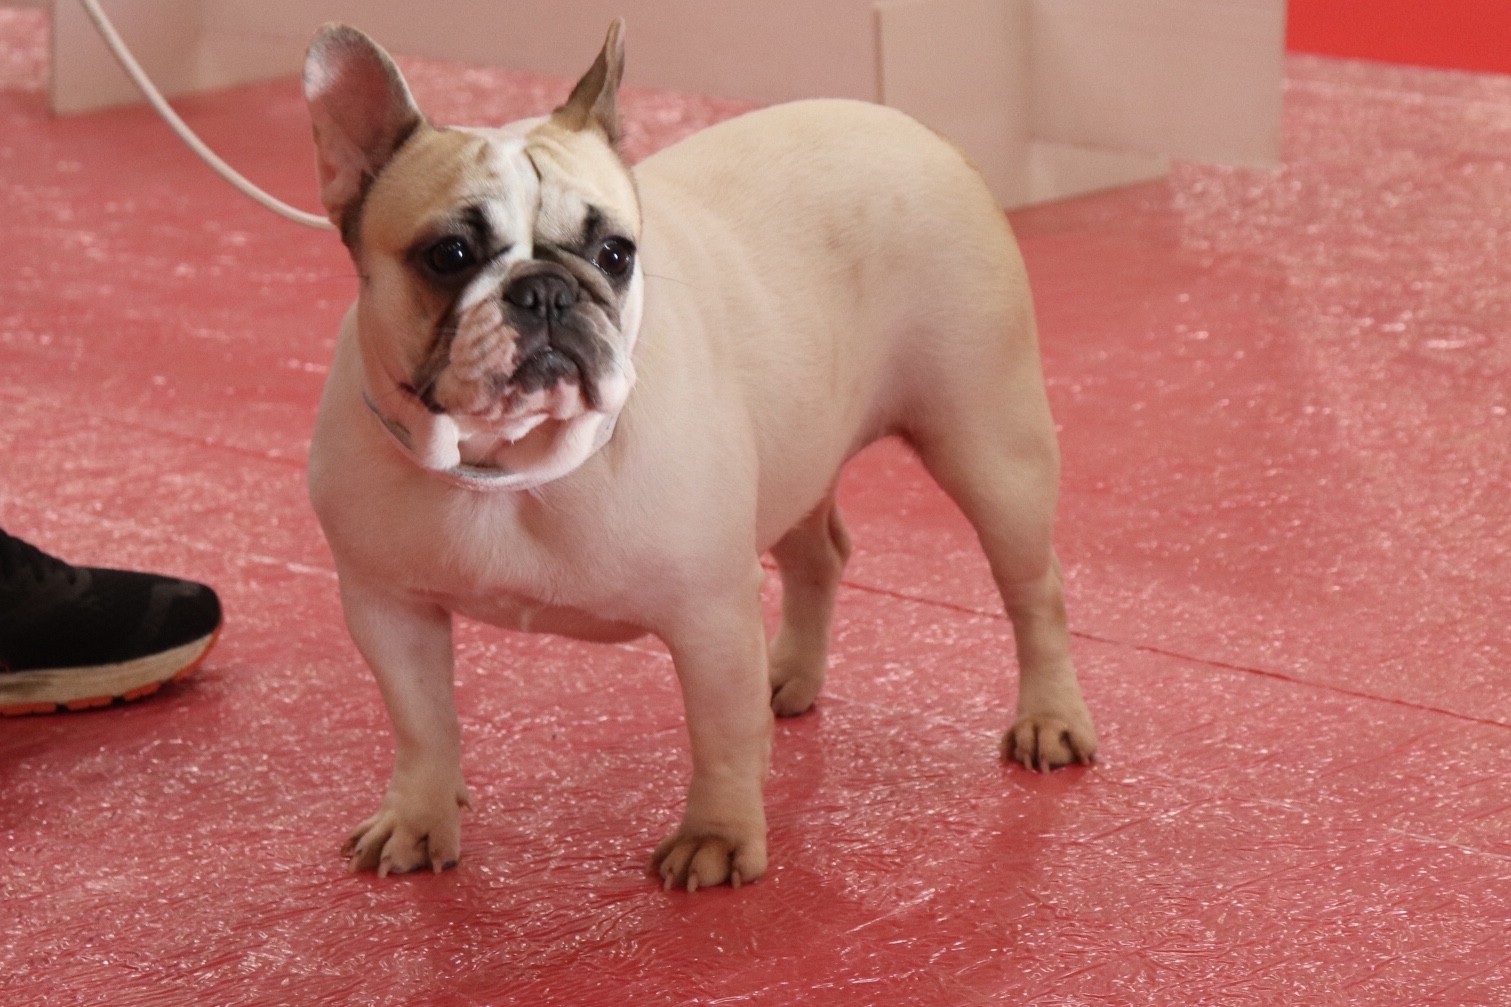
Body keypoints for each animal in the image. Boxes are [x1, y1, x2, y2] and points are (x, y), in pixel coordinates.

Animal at [303, 19, 1096, 892]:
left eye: (615, 253)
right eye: (447, 254)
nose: (545, 289)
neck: (511, 459)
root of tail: (909, 128)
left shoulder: (708, 610)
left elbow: (717, 732)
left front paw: (716, 835)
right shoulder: (387, 606)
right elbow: (421, 721)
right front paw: (419, 814)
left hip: (988, 444)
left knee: (1034, 591)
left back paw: (1049, 717)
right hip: (799, 447)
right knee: (820, 555)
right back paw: (786, 673)